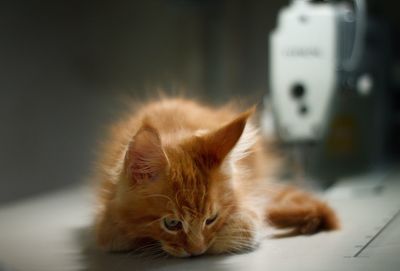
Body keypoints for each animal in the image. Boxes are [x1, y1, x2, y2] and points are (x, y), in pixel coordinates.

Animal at [93, 99, 338, 258]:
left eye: (211, 219)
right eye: (171, 223)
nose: (196, 251)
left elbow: (246, 228)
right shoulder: (108, 224)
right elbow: (118, 235)